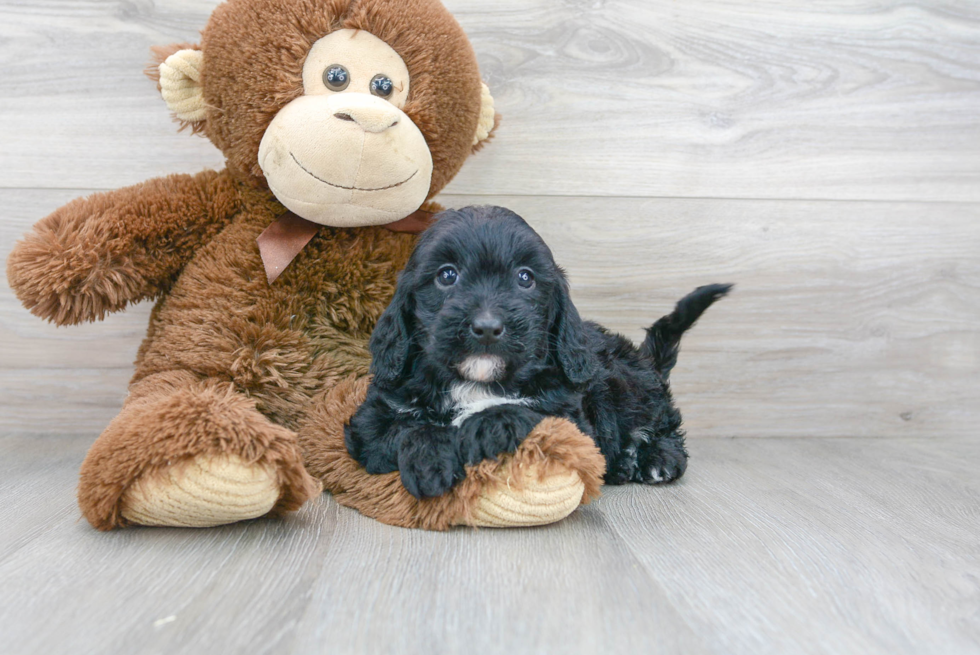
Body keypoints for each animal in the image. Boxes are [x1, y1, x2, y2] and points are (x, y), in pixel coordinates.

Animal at [344, 208, 728, 500]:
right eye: (447, 275)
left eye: (525, 278)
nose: (487, 326)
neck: (476, 382)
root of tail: (646, 362)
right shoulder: (373, 418)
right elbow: (406, 428)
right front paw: (430, 459)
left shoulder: (573, 418)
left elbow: (528, 412)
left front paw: (482, 427)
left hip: (631, 386)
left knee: (663, 425)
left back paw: (655, 460)